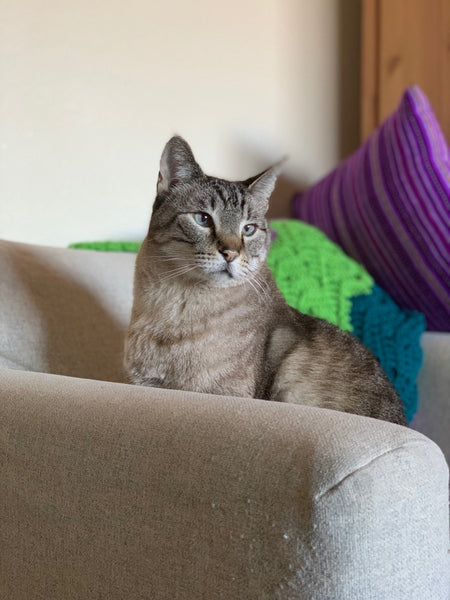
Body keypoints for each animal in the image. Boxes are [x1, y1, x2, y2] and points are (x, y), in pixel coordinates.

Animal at [124, 136, 408, 426]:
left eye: (248, 229)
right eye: (203, 219)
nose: (230, 253)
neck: (176, 302)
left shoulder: (218, 393)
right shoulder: (147, 385)